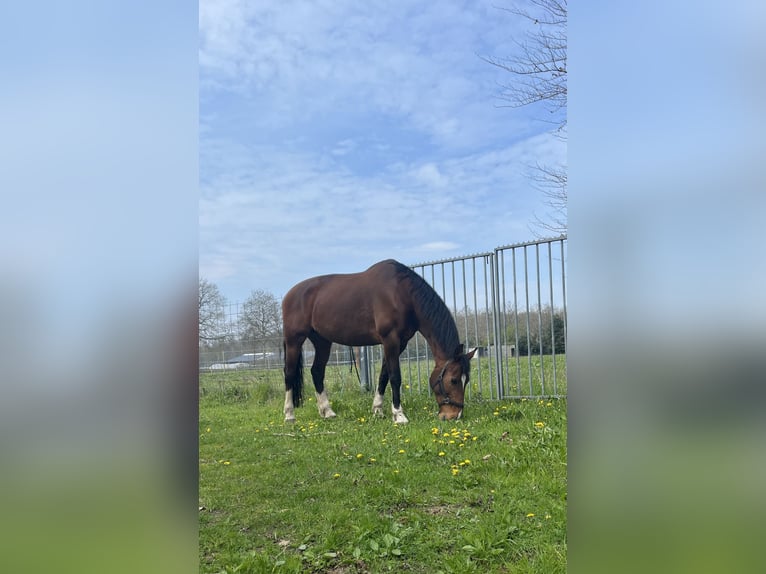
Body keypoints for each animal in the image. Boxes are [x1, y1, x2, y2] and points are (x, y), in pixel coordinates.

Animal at [280, 258, 476, 426]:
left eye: (466, 380)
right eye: (454, 380)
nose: (454, 415)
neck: (402, 294)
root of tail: (290, 294)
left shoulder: (400, 343)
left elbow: (384, 376)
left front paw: (378, 410)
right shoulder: (390, 340)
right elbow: (395, 377)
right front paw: (399, 415)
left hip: (322, 341)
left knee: (317, 372)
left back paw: (327, 411)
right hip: (294, 340)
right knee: (289, 373)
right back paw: (289, 415)